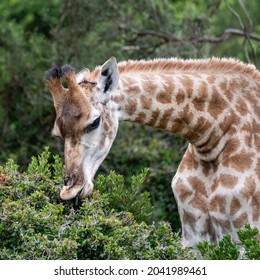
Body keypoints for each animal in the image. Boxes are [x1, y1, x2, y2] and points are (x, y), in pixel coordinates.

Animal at [45, 57, 260, 247]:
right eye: (57, 133)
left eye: (95, 122)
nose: (70, 192)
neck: (211, 141)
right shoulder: (193, 233)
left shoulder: (245, 231)